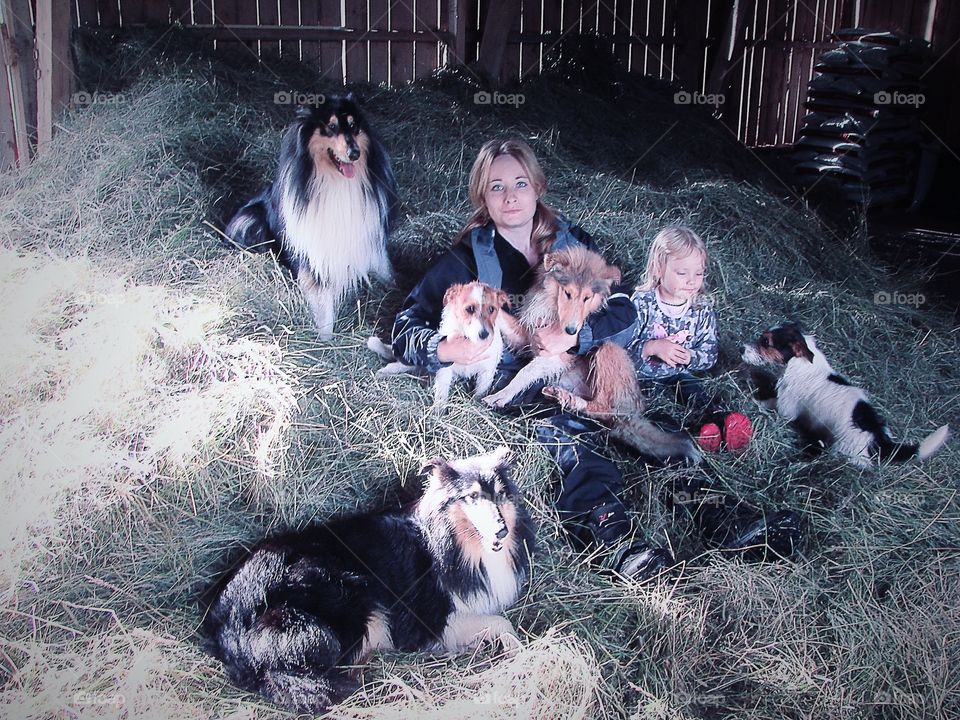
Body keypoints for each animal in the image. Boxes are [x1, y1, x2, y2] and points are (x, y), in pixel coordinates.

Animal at [202, 444, 532, 716]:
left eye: (501, 493)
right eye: (473, 496)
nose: (502, 531)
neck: (457, 544)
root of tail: (224, 615)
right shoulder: (426, 623)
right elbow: (500, 622)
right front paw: (515, 650)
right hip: (343, 598)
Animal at [226, 93, 398, 340]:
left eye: (354, 126)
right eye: (332, 127)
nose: (354, 153)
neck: (337, 184)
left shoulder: (371, 246)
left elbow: (386, 276)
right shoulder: (315, 259)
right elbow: (323, 305)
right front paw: (324, 339)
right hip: (248, 221)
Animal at [368, 280, 524, 404]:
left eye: (492, 309)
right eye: (470, 309)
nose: (484, 335)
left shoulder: (486, 370)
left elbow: (480, 392)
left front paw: (477, 405)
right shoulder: (445, 368)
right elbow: (442, 393)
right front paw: (438, 411)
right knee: (401, 363)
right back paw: (384, 371)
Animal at [740, 320, 948, 466]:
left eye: (766, 342)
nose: (741, 348)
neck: (800, 363)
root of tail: (878, 436)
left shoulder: (786, 407)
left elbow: (769, 403)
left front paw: (752, 399)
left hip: (844, 450)